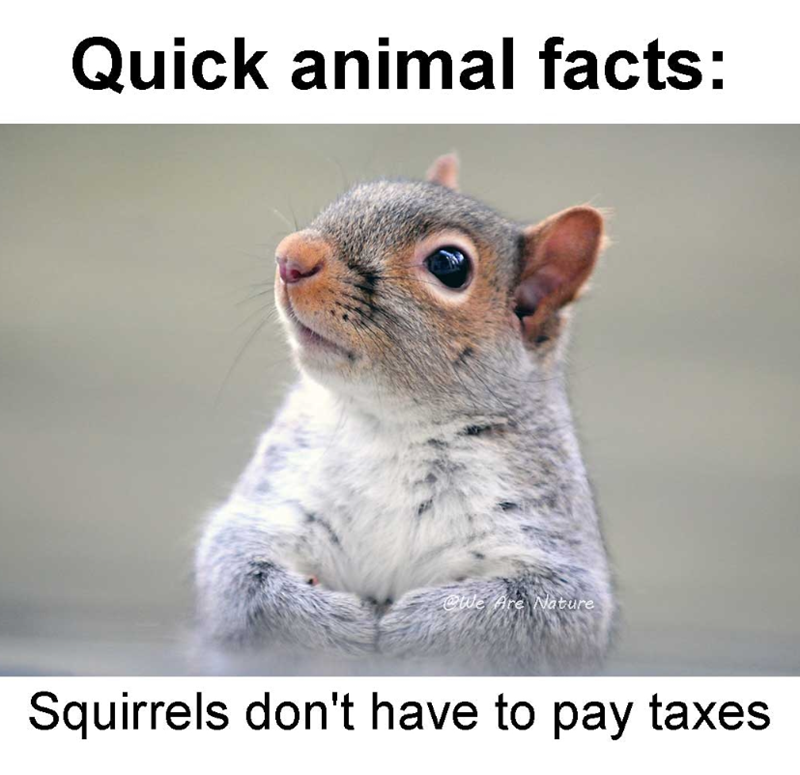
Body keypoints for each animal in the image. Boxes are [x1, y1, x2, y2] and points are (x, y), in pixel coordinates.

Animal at [195, 154, 615, 674]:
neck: (391, 425)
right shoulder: (273, 500)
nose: (291, 256)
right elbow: (236, 575)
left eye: (449, 265)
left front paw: (419, 628)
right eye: (352, 195)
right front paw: (332, 622)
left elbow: (539, 613)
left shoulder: (551, 543)